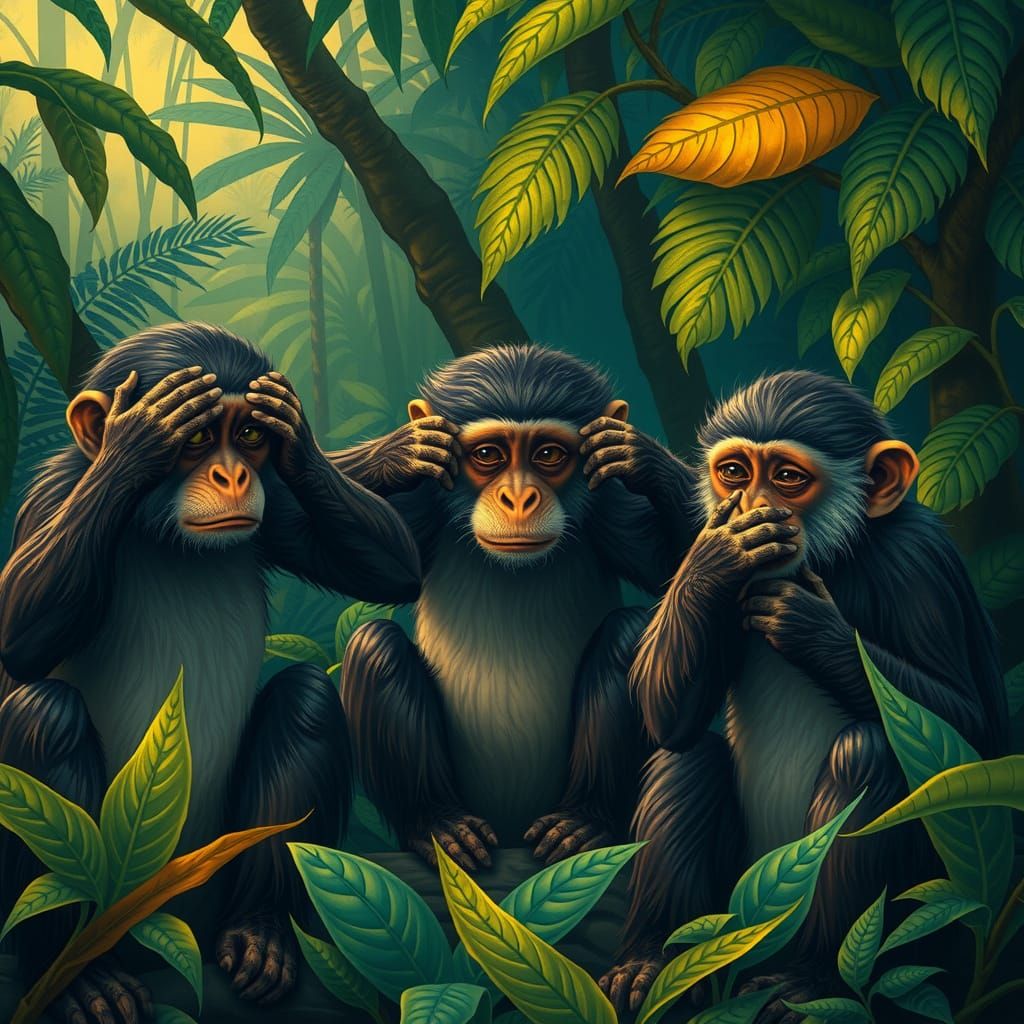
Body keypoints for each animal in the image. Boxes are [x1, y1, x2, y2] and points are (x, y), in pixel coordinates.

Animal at [0, 323, 421, 1024]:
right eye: (195, 437)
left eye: (249, 434)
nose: (231, 473)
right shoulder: (50, 498)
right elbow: (16, 636)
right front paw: (137, 436)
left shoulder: (279, 509)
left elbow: (392, 566)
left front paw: (301, 432)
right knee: (44, 714)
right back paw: (79, 975)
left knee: (306, 697)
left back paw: (261, 930)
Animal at [331, 344, 694, 873]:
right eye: (488, 455)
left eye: (548, 455)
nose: (518, 496)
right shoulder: (422, 505)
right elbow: (368, 569)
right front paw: (398, 451)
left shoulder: (611, 508)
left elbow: (680, 565)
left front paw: (640, 454)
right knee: (375, 646)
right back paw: (437, 823)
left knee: (628, 634)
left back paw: (585, 820)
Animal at [598, 370, 1009, 1022]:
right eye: (735, 473)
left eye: (788, 478)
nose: (752, 507)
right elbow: (665, 713)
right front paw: (707, 541)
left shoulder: (918, 566)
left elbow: (968, 736)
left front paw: (810, 624)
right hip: (738, 903)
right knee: (687, 756)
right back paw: (654, 960)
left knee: (871, 753)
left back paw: (812, 982)